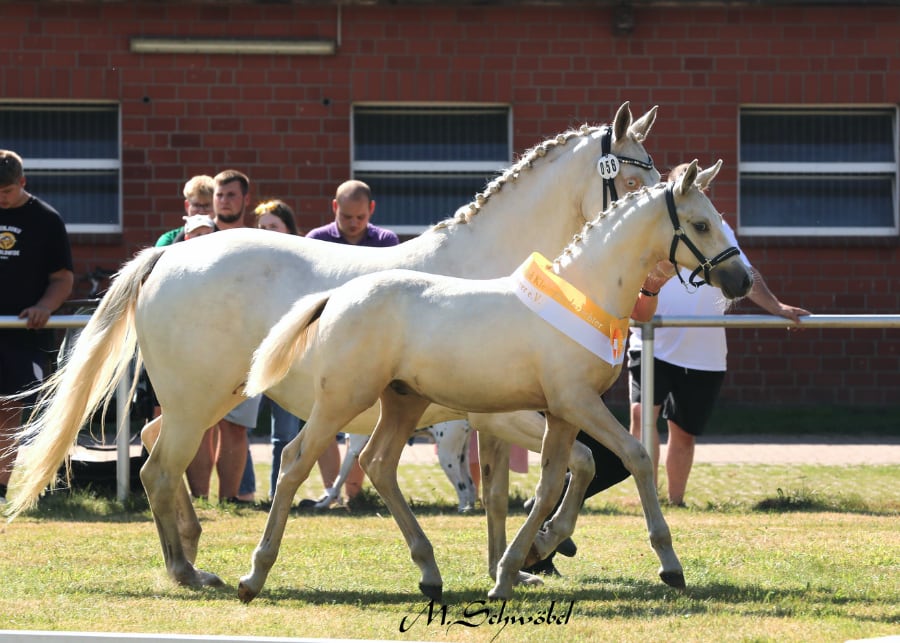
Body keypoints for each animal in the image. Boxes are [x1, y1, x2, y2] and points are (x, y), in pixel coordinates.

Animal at [5, 102, 660, 592]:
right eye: (632, 181)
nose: (657, 279)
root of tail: (168, 255)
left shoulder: (498, 416)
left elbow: (502, 492)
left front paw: (514, 566)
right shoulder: (507, 412)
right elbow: (580, 463)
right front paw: (541, 546)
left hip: (210, 398)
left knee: (150, 445)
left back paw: (189, 550)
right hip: (199, 400)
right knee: (162, 465)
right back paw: (189, 570)